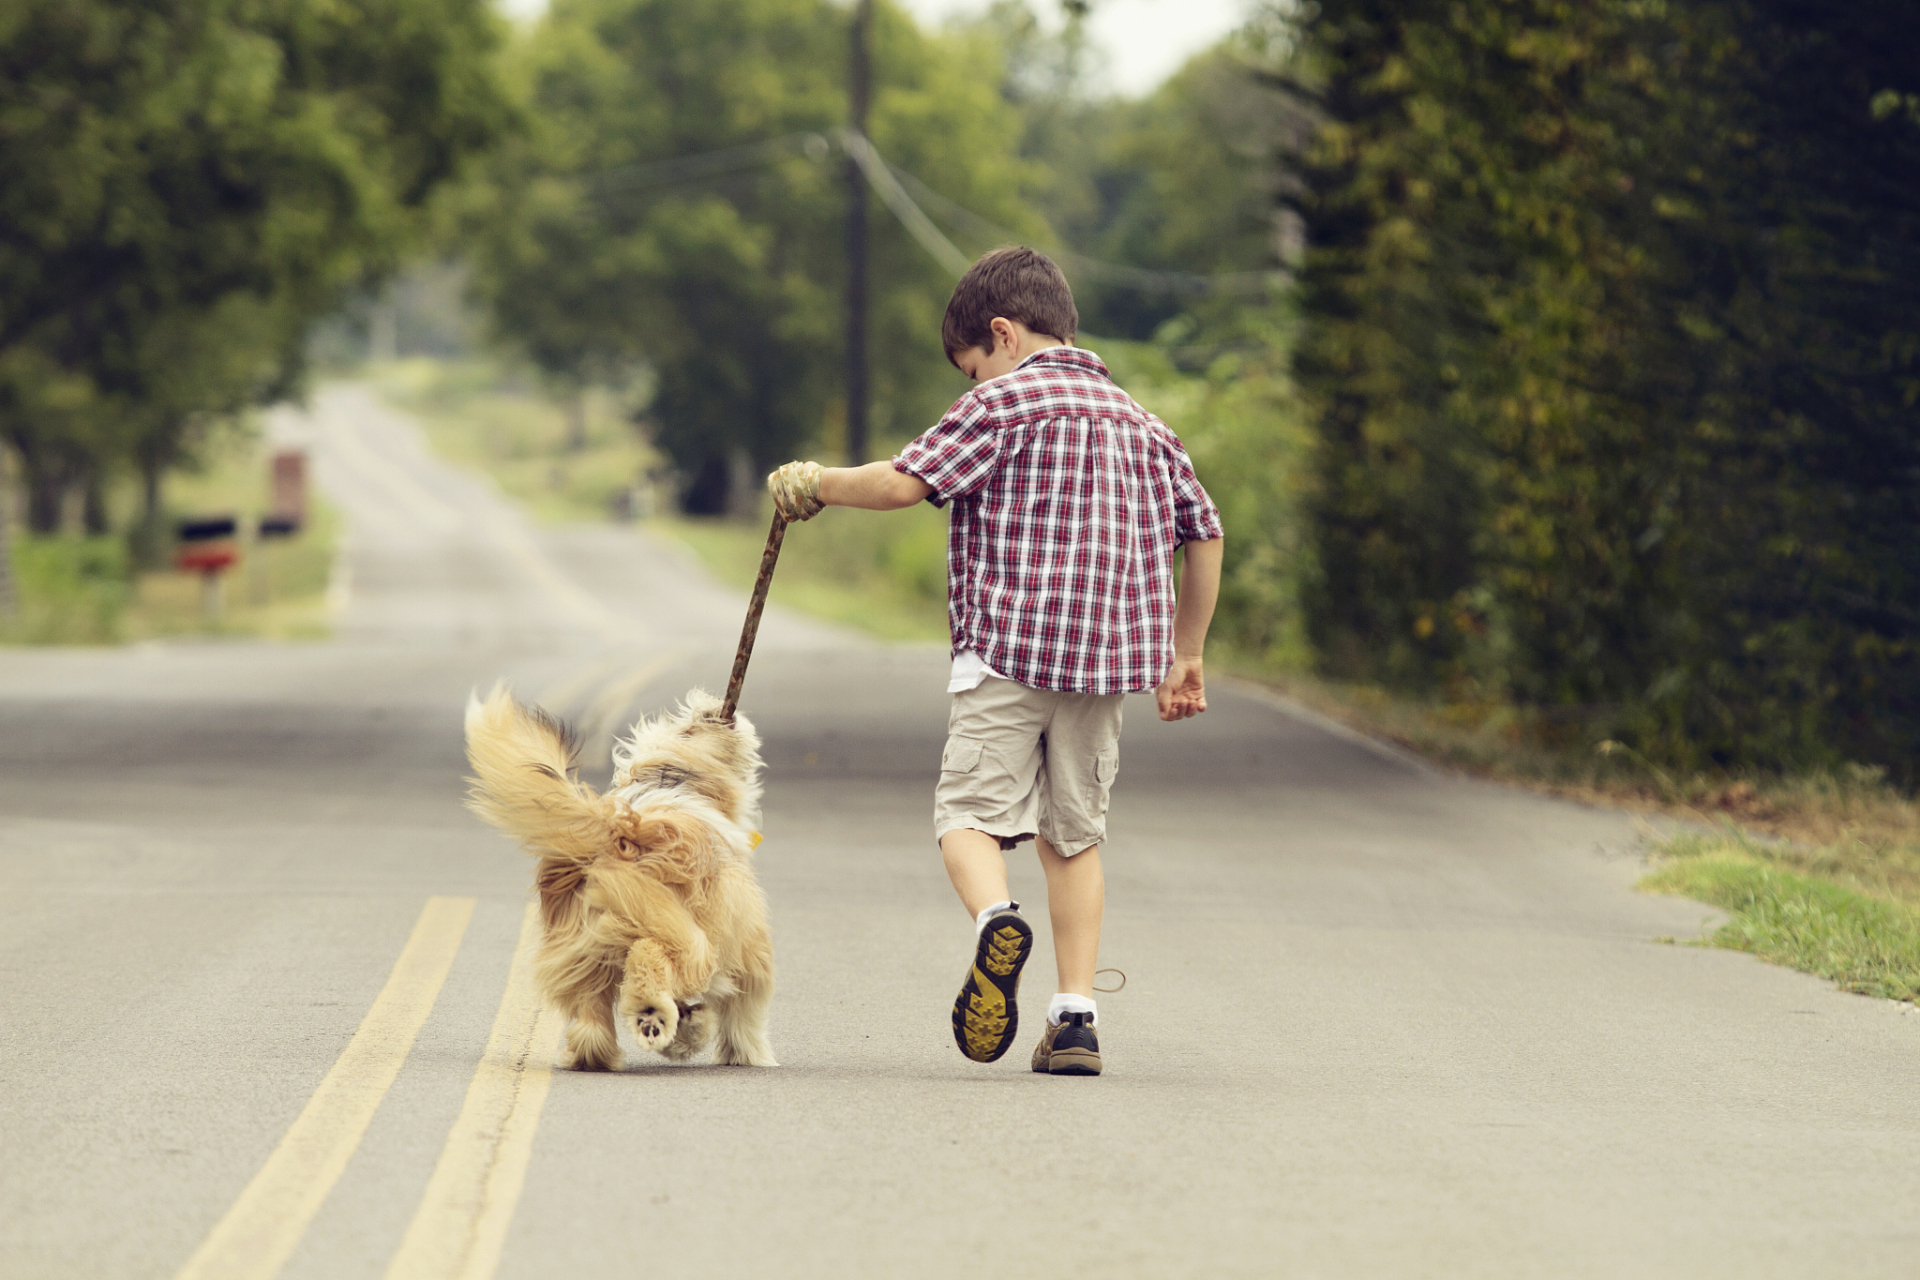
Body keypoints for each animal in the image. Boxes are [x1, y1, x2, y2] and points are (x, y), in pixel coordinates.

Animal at [462, 687, 771, 1066]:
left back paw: (597, 1054)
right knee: (650, 955)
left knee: (591, 1016)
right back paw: (651, 1015)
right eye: (689, 728)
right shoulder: (747, 948)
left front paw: (688, 1032)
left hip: (579, 951)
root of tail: (619, 830)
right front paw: (745, 1054)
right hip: (681, 936)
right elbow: (744, 1013)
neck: (680, 780)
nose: (715, 708)